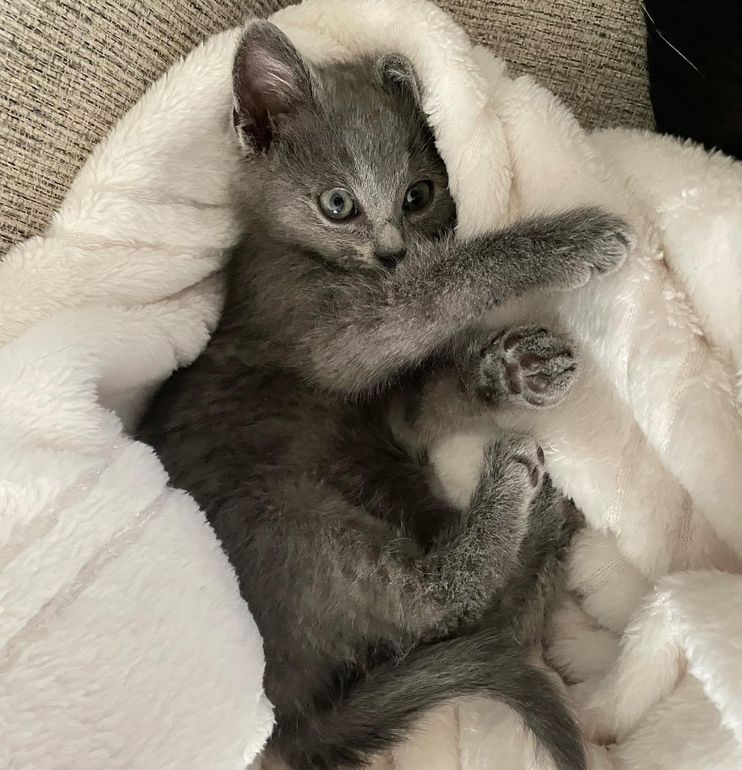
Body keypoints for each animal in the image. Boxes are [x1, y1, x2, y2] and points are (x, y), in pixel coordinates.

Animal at [137, 22, 632, 768]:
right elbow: (441, 286)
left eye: (418, 195)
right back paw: (517, 489)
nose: (393, 251)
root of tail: (288, 718)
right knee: (435, 606)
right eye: (338, 204)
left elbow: (432, 394)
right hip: (285, 521)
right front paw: (572, 242)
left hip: (391, 485)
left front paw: (514, 370)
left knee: (491, 620)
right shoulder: (321, 327)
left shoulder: (391, 411)